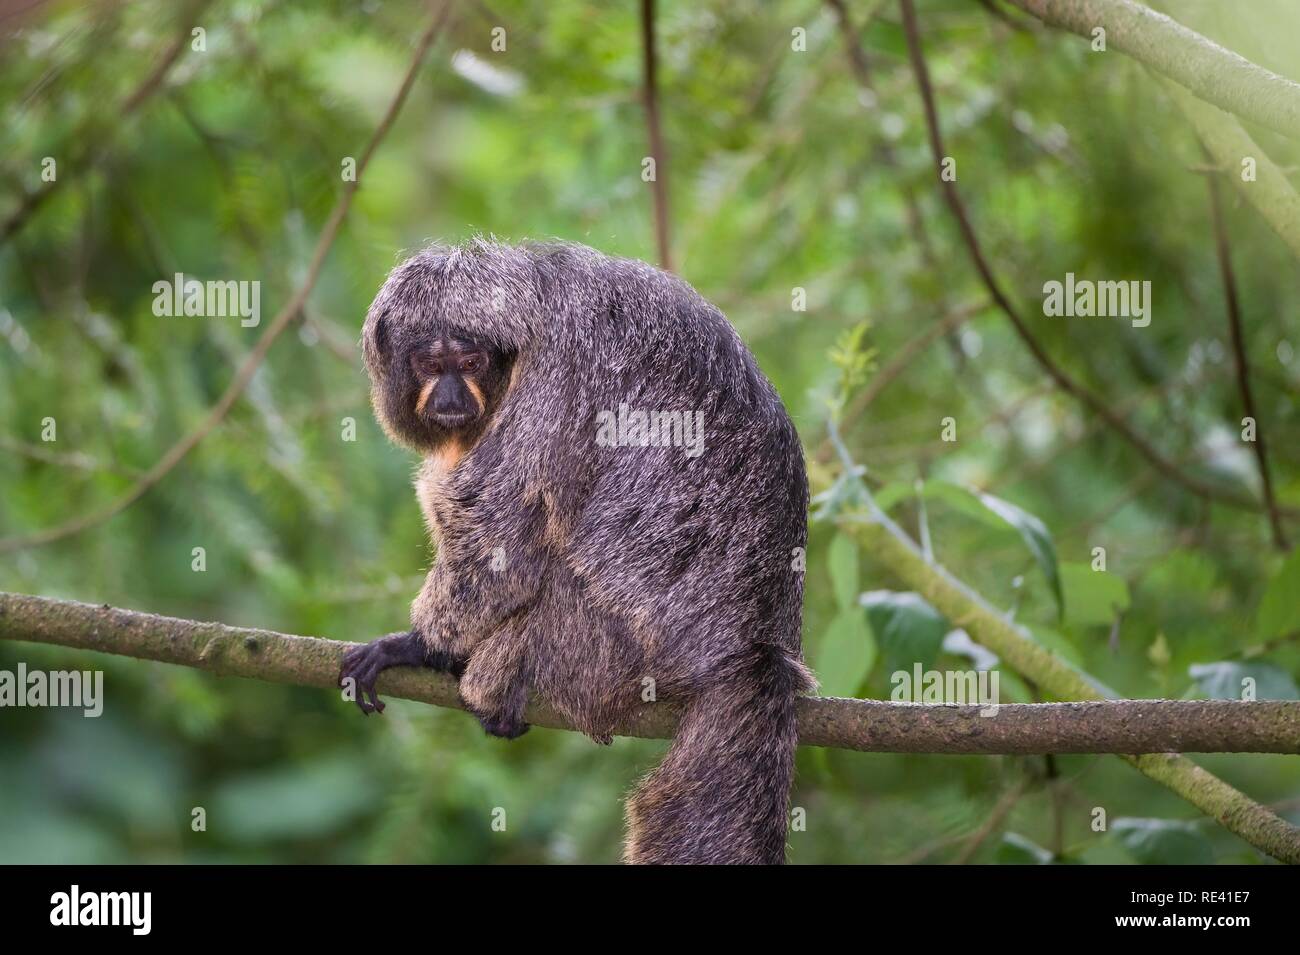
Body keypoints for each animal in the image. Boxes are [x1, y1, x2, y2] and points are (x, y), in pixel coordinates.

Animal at [340, 237, 806, 867]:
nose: (450, 395)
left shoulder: (556, 376)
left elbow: (503, 547)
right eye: (430, 366)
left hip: (612, 645)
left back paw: (485, 680)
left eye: (469, 363)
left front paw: (417, 647)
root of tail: (757, 648)